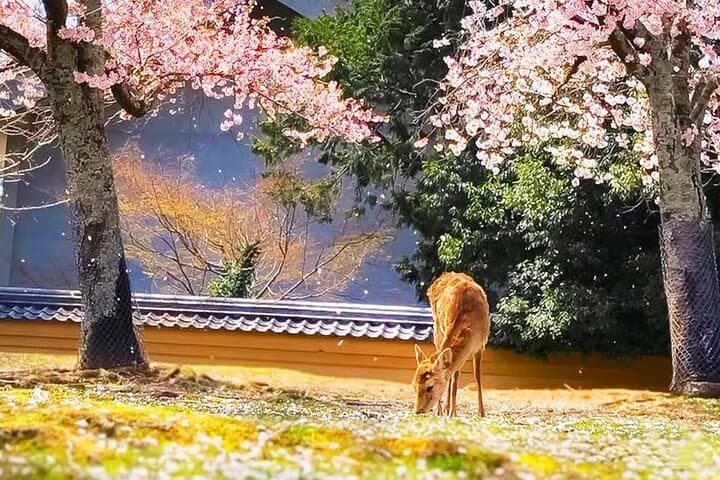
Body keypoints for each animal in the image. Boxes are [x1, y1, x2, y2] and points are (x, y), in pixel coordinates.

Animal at [411, 272, 490, 417]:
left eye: (430, 386)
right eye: (414, 386)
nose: (417, 411)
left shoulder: (481, 344)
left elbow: (477, 375)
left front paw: (481, 412)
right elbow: (454, 376)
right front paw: (449, 411)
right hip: (437, 329)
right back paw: (443, 410)